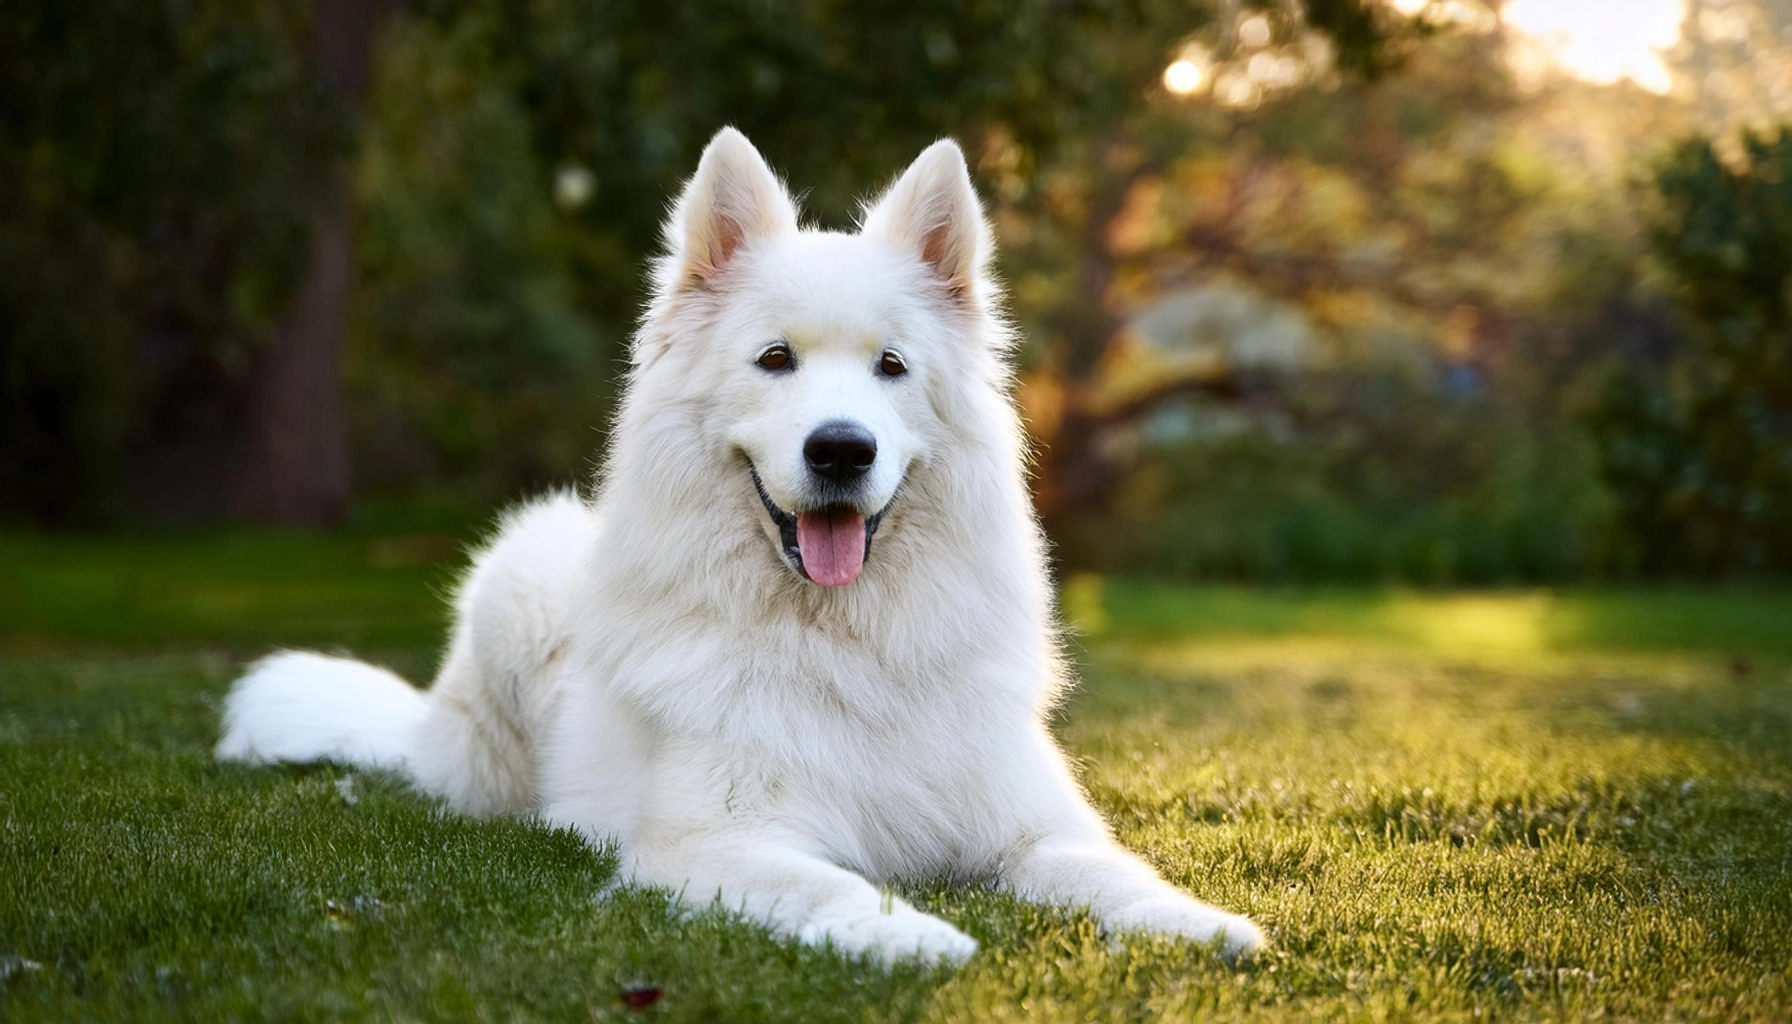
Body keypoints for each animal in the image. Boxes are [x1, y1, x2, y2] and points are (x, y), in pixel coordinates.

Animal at [216, 128, 1268, 968]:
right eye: (775, 360)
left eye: (892, 367)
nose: (841, 449)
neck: (847, 643)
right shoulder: (712, 841)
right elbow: (836, 884)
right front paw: (918, 937)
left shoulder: (1033, 827)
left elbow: (1115, 873)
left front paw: (1205, 925)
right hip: (520, 578)